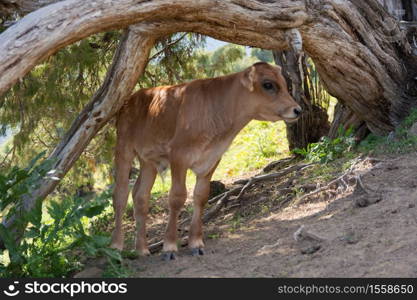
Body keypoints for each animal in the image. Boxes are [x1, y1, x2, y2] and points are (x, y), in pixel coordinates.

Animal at [109, 61, 300, 260]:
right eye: (268, 84)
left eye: (285, 84)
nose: (297, 110)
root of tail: (133, 97)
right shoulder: (179, 155)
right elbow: (177, 197)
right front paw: (170, 246)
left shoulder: (212, 159)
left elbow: (201, 196)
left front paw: (195, 243)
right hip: (123, 149)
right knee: (120, 194)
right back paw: (116, 246)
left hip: (149, 161)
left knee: (140, 196)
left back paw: (142, 249)